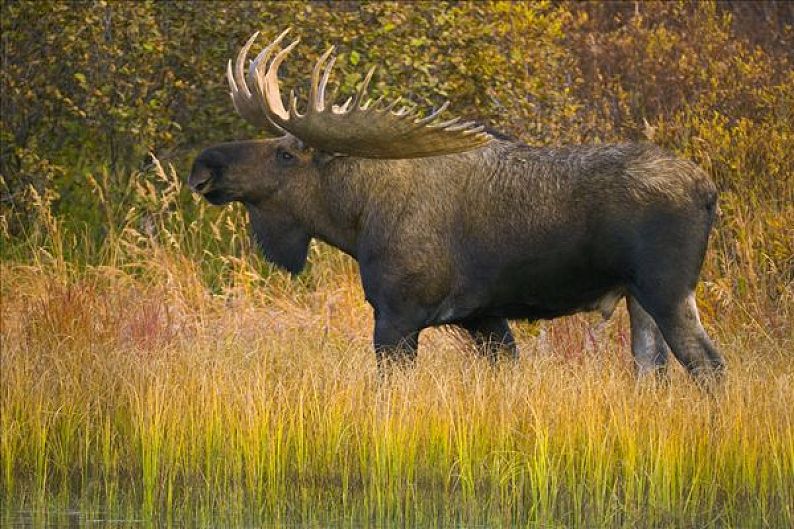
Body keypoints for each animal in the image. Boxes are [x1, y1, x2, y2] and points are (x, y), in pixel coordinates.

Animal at [187, 29, 724, 380]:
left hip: (667, 289)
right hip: (638, 299)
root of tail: (709, 192)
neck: (356, 220)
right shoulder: (482, 317)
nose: (204, 165)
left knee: (710, 366)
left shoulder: (397, 312)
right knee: (653, 371)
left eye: (285, 153)